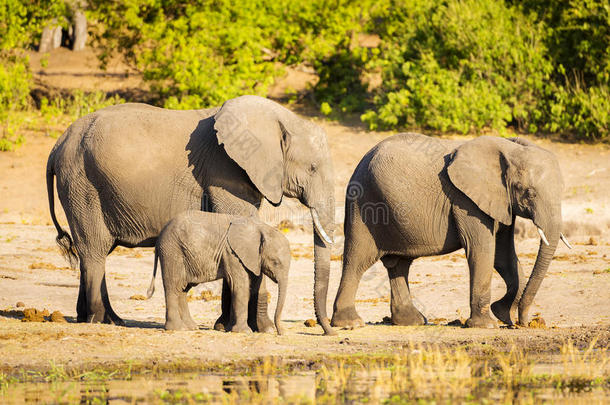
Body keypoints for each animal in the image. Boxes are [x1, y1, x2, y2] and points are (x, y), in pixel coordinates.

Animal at [147, 210, 290, 332]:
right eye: (275, 262)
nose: (281, 332)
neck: (261, 228)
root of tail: (159, 237)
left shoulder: (254, 258)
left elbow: (255, 286)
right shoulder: (231, 253)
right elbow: (240, 286)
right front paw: (243, 331)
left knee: (183, 289)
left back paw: (190, 327)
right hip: (172, 253)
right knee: (173, 286)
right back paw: (177, 328)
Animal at [330, 133, 568, 328]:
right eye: (529, 193)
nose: (524, 322)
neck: (508, 149)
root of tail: (359, 163)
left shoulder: (501, 202)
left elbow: (504, 255)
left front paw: (502, 314)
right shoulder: (466, 201)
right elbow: (482, 250)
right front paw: (486, 325)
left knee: (399, 264)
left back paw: (412, 322)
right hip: (364, 205)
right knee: (357, 260)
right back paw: (350, 323)